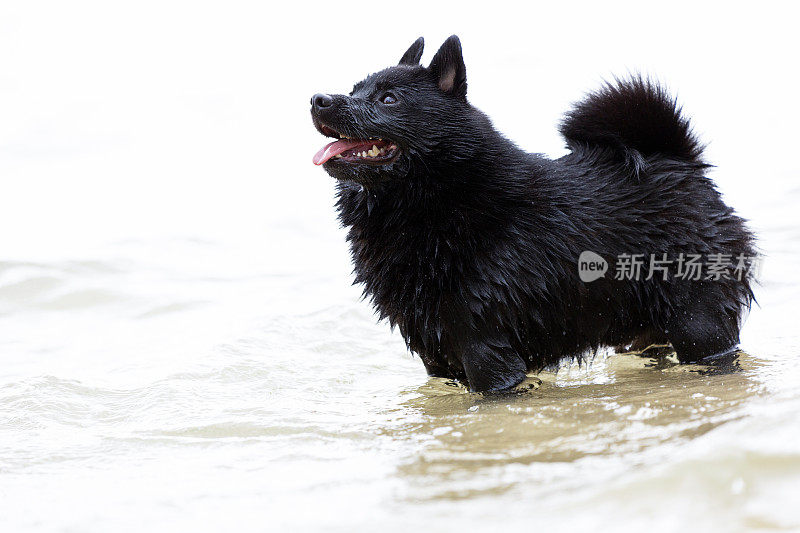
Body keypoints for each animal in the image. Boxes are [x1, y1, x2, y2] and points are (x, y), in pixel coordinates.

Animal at [308, 34, 756, 390]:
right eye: (356, 88)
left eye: (388, 99)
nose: (317, 99)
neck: (442, 201)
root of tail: (679, 162)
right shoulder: (436, 355)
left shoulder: (486, 348)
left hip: (698, 323)